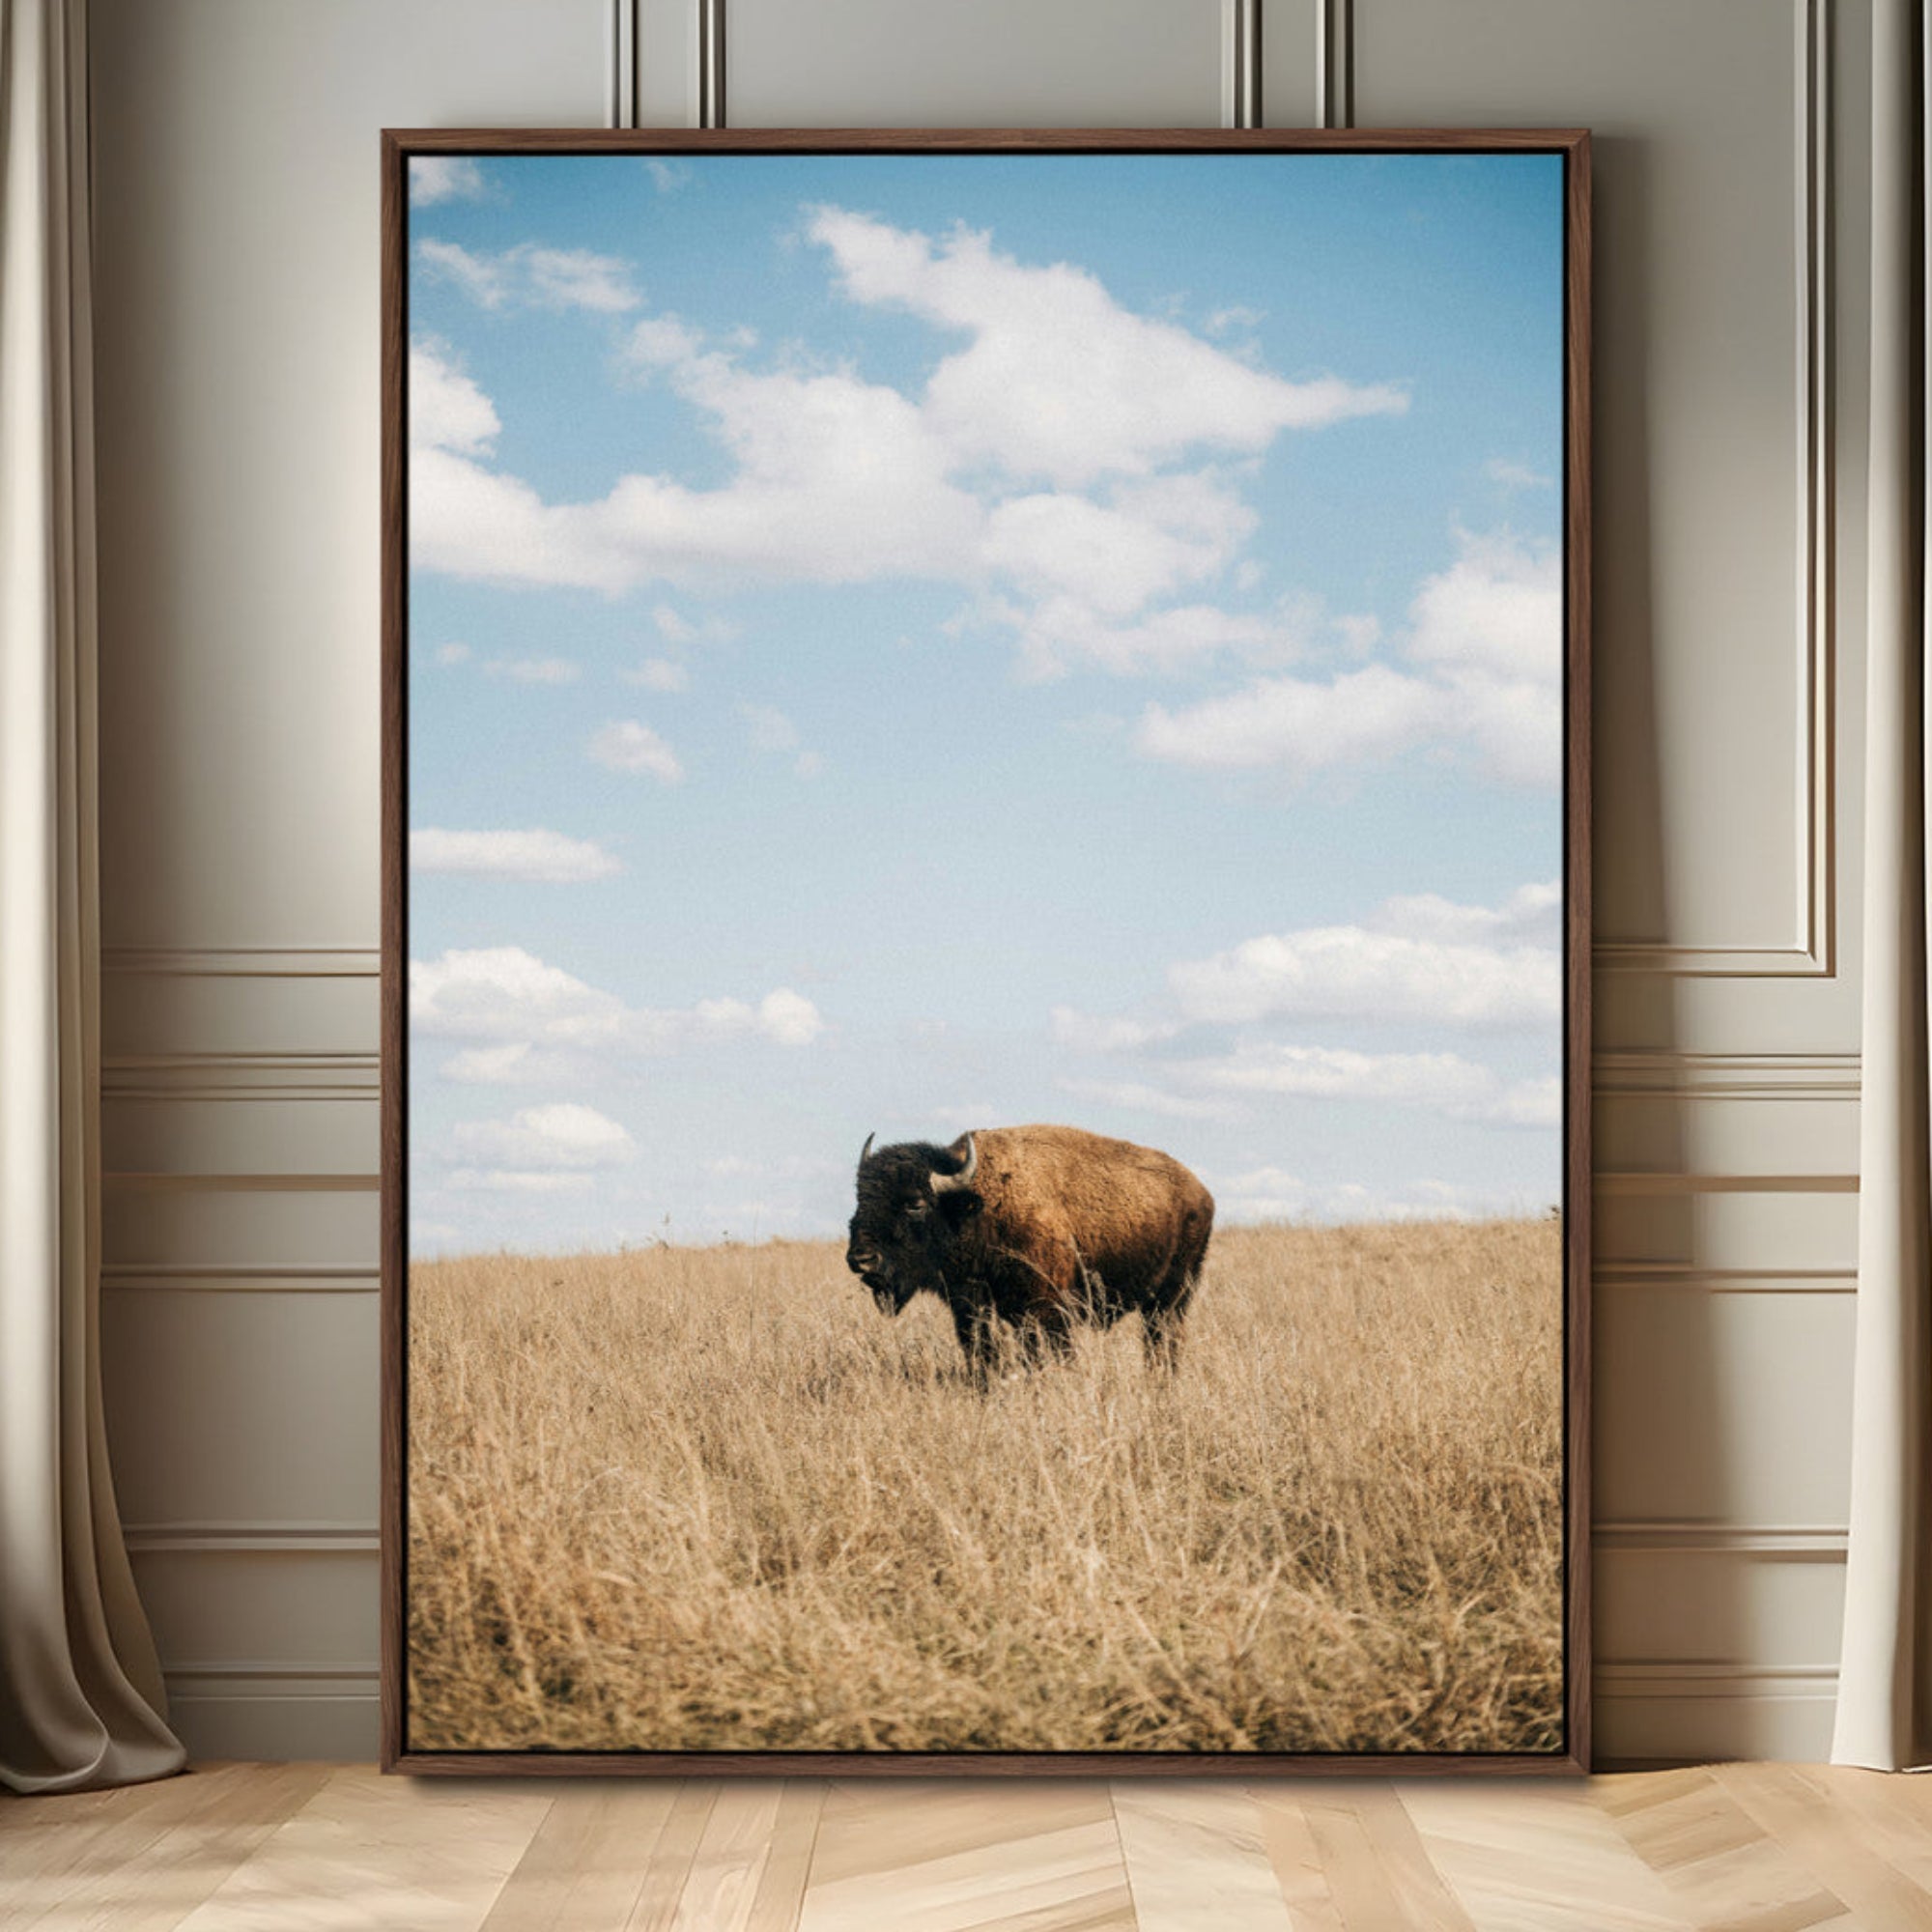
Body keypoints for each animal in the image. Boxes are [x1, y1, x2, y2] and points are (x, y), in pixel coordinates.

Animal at [845, 1124, 1214, 1377]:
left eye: (916, 1203)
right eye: (861, 1198)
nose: (861, 1259)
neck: (978, 1206)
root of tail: (1201, 1192)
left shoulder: (1045, 1309)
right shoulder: (971, 1307)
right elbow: (982, 1352)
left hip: (1171, 1300)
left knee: (1163, 1341)